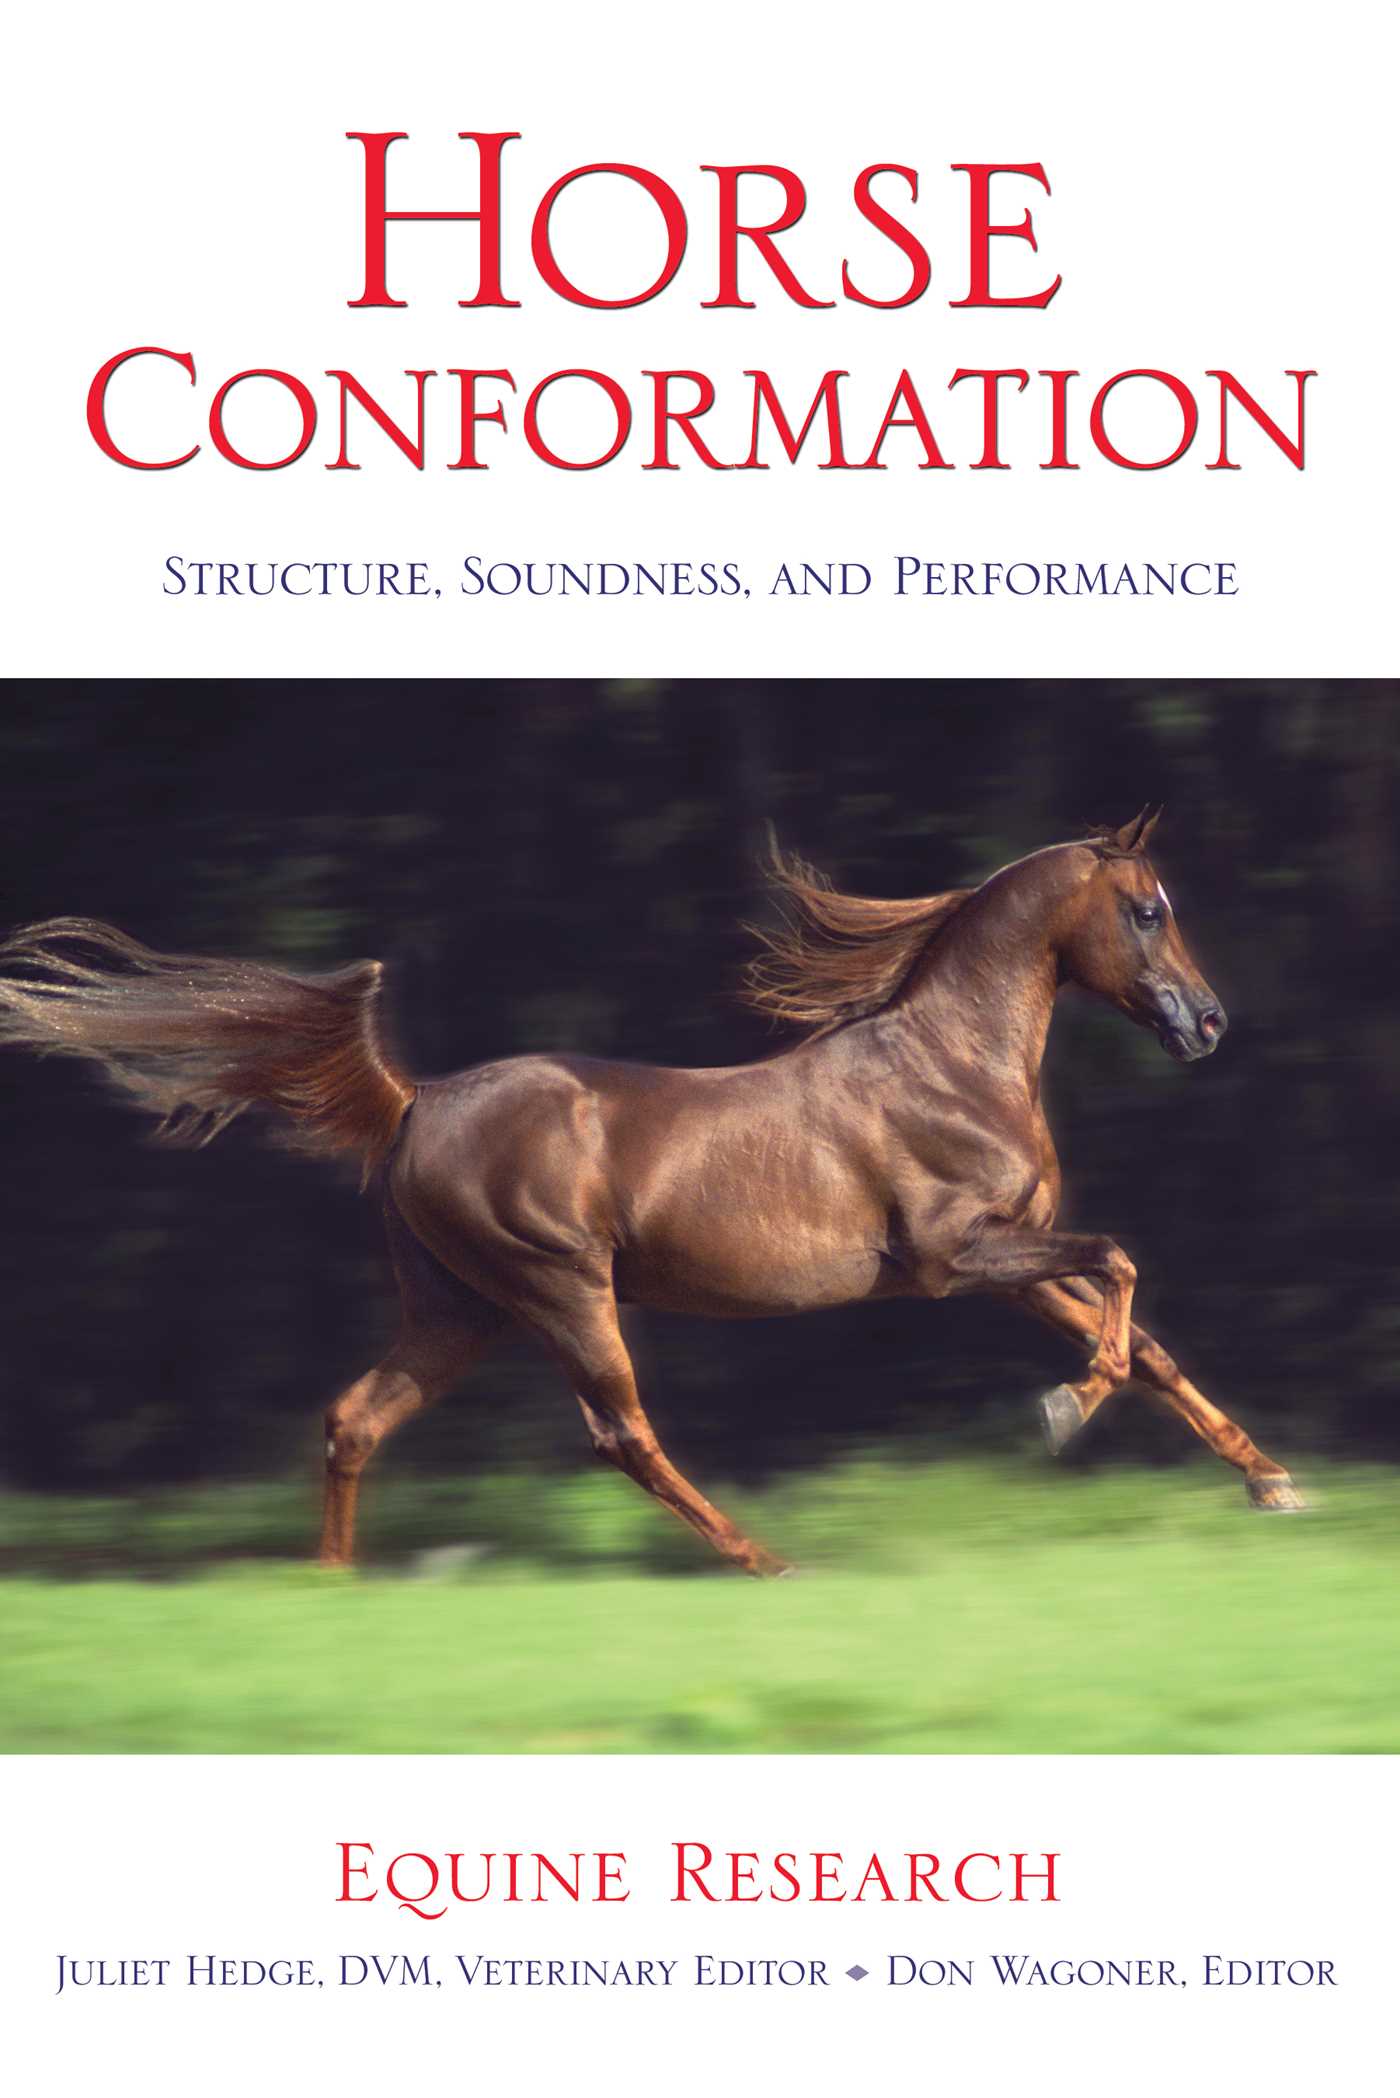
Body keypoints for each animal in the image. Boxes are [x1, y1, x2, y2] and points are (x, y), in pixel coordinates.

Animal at [0, 807, 1302, 1575]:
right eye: (1147, 908)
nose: (1207, 1024)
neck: (951, 1063)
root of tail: (413, 1100)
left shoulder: (1010, 1259)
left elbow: (1143, 1340)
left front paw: (1271, 1482)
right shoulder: (952, 1258)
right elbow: (1122, 1268)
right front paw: (1058, 1411)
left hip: (460, 1310)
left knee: (354, 1416)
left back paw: (334, 1586)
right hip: (561, 1290)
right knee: (618, 1432)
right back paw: (764, 1558)